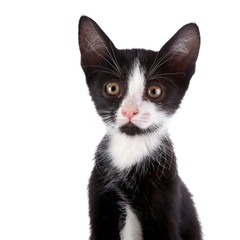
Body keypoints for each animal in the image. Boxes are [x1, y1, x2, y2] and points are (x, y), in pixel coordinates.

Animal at [78, 15, 201, 239]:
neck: (131, 147)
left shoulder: (166, 197)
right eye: (112, 88)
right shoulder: (99, 195)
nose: (130, 111)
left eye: (154, 91)